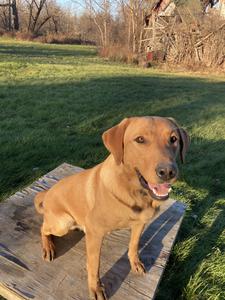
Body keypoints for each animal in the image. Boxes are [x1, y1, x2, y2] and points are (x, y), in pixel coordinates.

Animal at [34, 116, 190, 298]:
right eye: (140, 139)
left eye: (173, 139)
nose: (167, 172)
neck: (134, 192)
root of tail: (47, 193)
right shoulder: (95, 233)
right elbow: (94, 264)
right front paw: (95, 288)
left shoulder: (140, 223)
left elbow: (134, 245)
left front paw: (135, 262)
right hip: (63, 223)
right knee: (43, 228)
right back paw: (48, 247)